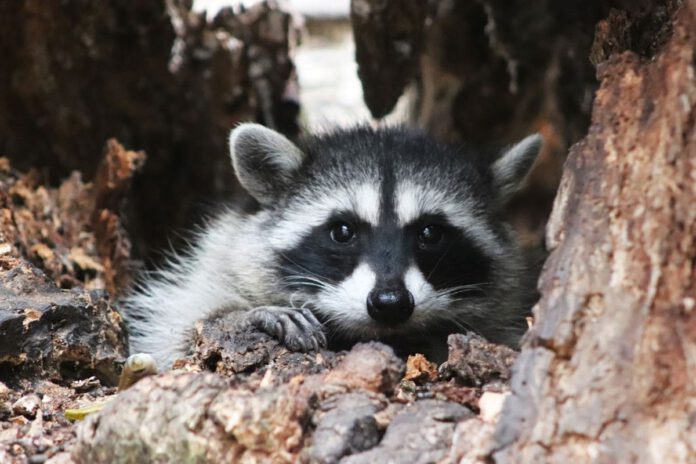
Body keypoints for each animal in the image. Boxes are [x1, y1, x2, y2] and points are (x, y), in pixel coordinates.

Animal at [123, 124, 543, 368]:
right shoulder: (213, 258)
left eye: (430, 233)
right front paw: (247, 314)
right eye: (343, 231)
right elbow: (174, 335)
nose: (390, 303)